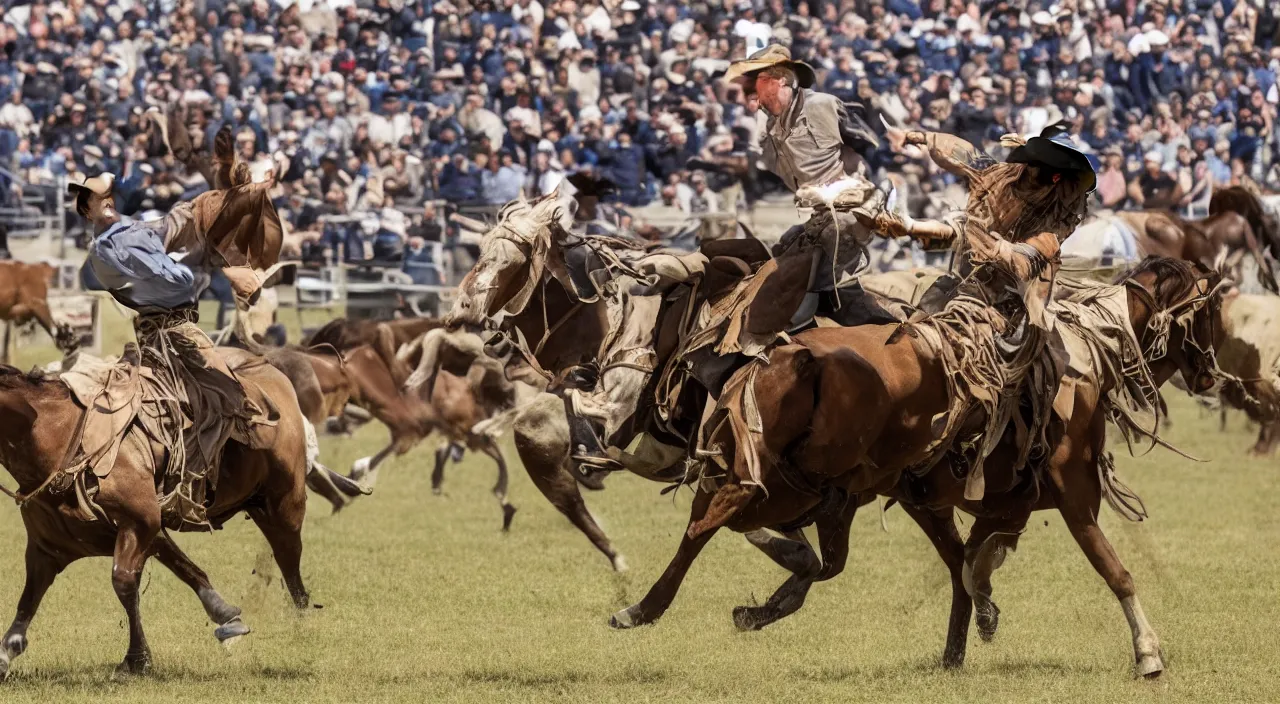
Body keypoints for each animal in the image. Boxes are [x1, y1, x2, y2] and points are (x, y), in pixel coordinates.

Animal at [0, 355, 325, 680]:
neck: (61, 440)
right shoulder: (50, 550)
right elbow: (29, 600)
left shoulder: (140, 524)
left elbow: (125, 583)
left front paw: (137, 658)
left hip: (284, 509)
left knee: (291, 566)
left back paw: (302, 625)